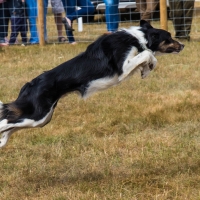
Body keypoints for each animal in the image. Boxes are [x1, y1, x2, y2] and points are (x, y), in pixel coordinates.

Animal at [0, 20, 184, 148]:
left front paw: (146, 70)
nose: (182, 44)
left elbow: (148, 57)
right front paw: (148, 67)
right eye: (169, 38)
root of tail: (30, 84)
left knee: (10, 125)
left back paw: (2, 144)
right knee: (6, 121)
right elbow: (147, 54)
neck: (137, 38)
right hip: (37, 115)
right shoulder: (123, 68)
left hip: (42, 119)